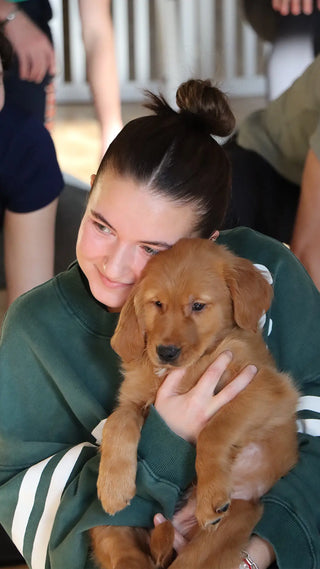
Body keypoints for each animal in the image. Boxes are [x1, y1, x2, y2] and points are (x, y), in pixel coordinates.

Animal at [91, 236, 298, 568]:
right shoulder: (134, 400)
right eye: (157, 304)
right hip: (105, 526)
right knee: (122, 551)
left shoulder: (268, 388)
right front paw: (113, 485)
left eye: (198, 305)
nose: (165, 352)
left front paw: (211, 492)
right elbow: (116, 423)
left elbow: (213, 430)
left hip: (234, 520)